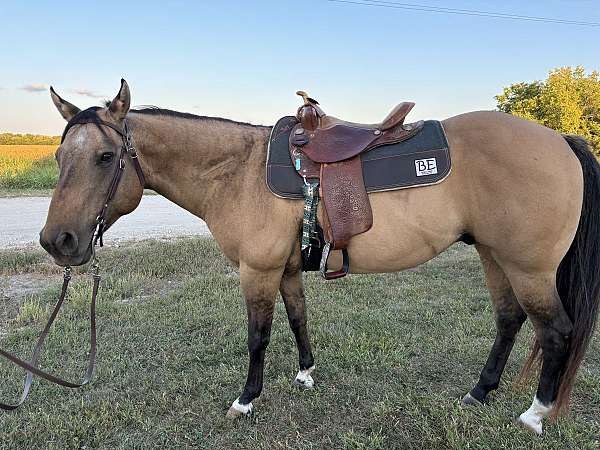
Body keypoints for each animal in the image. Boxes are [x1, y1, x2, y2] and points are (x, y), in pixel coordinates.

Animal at [39, 79, 596, 434]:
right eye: (60, 156)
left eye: (105, 157)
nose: (57, 241)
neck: (238, 171)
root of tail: (560, 140)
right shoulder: (285, 269)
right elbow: (298, 318)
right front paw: (306, 373)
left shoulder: (257, 271)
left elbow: (258, 336)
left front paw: (246, 400)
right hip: (494, 256)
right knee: (509, 320)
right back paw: (479, 393)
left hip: (529, 268)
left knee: (556, 331)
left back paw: (535, 414)